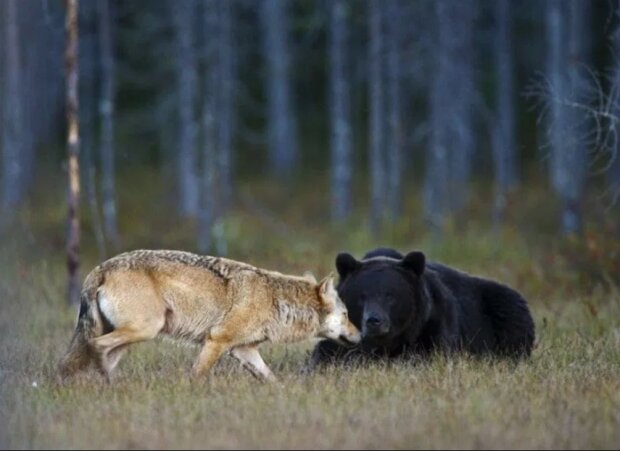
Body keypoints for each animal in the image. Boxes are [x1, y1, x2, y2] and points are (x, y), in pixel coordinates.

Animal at [59, 249, 358, 384]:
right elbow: (198, 375)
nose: (361, 333)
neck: (276, 301)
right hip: (144, 330)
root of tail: (100, 268)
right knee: (96, 347)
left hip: (131, 338)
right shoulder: (216, 341)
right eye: (345, 314)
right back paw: (108, 381)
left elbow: (271, 379)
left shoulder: (243, 350)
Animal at [312, 249, 536, 370]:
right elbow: (328, 354)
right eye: (362, 295)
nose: (374, 320)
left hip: (501, 310)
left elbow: (426, 357)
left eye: (390, 295)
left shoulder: (431, 327)